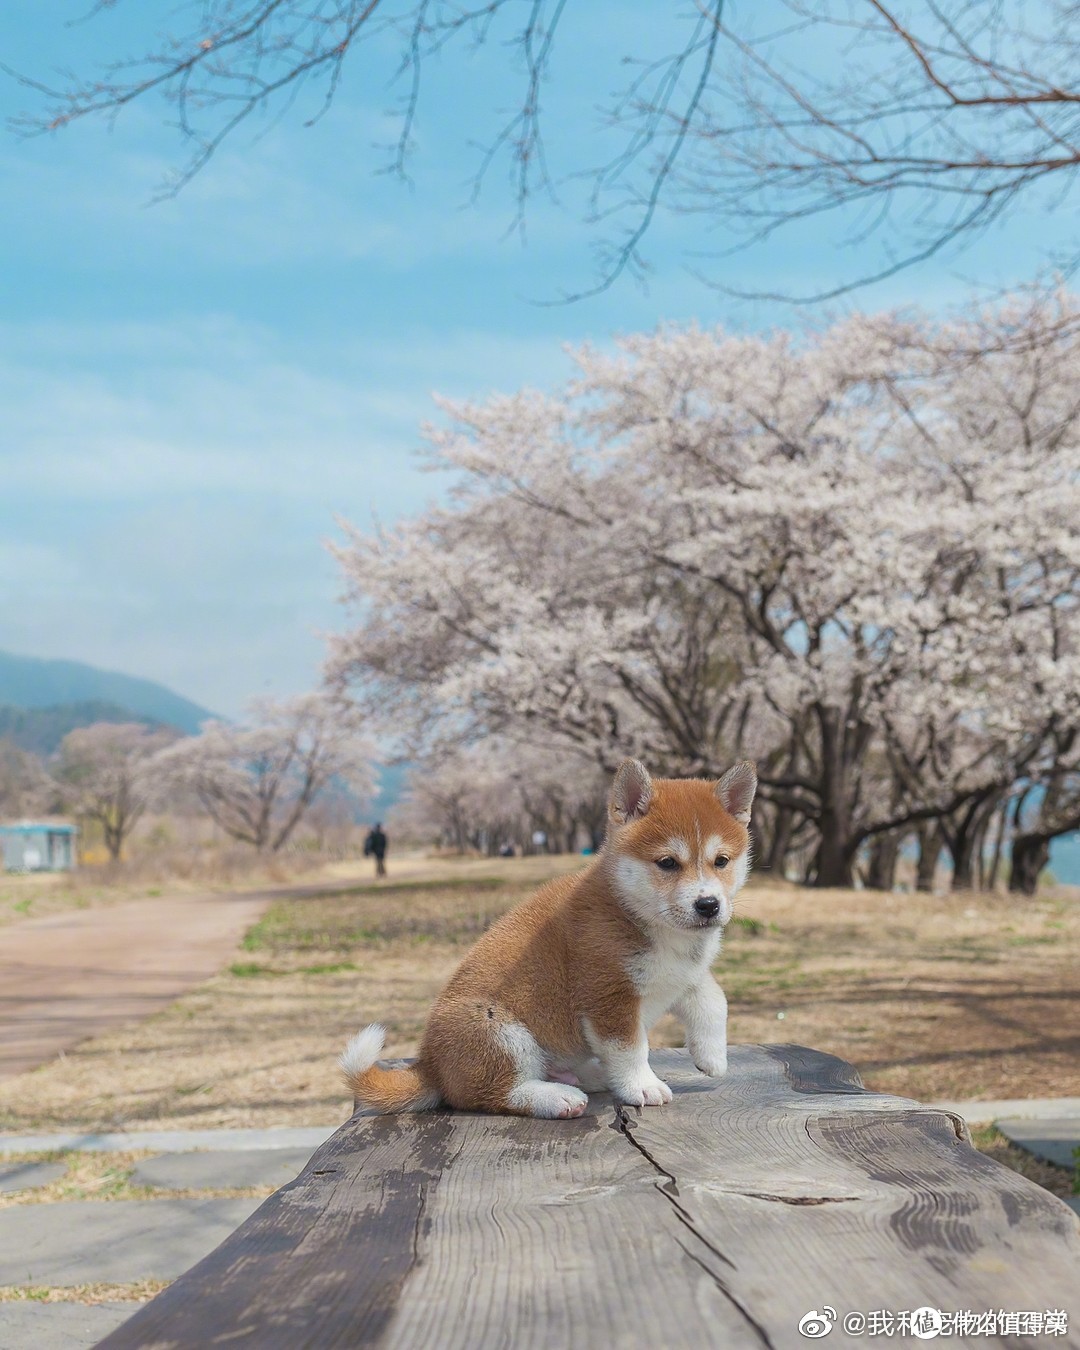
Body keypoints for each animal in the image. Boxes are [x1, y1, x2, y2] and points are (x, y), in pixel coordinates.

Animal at [341, 761, 756, 1117]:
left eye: (721, 861)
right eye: (667, 863)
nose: (708, 905)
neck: (641, 917)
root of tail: (430, 1066)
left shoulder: (683, 974)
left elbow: (714, 1000)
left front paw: (712, 1056)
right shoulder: (609, 995)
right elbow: (631, 1049)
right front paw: (642, 1086)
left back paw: (589, 1076)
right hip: (500, 1032)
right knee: (487, 1093)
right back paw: (555, 1097)